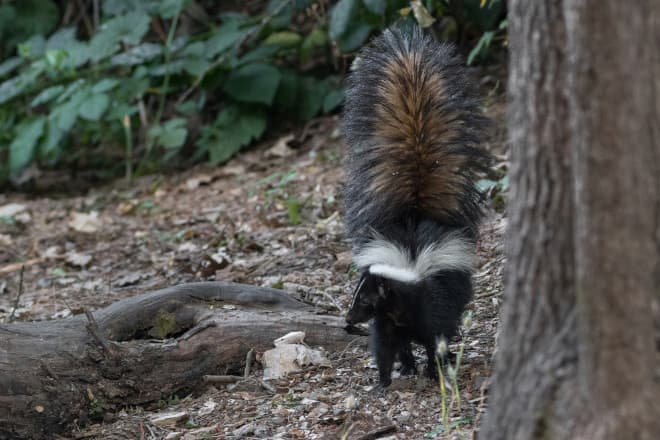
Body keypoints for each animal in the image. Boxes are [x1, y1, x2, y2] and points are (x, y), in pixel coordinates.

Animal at [340, 25, 490, 388]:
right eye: (356, 295)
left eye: (365, 299)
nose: (347, 319)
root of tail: (415, 212)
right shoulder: (387, 322)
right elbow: (385, 347)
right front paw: (385, 380)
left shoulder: (431, 304)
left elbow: (437, 335)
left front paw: (436, 370)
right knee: (406, 343)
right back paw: (409, 364)